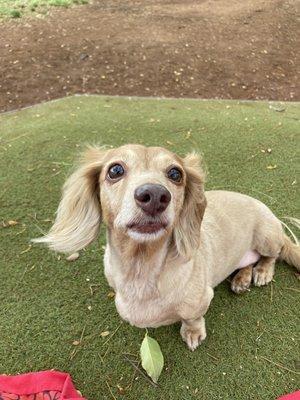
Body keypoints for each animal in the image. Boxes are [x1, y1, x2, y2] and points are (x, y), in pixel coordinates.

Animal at [33, 144, 300, 350]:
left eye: (175, 173)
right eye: (115, 170)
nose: (154, 195)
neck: (142, 268)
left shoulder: (200, 300)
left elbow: (192, 318)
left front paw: (193, 333)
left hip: (267, 237)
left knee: (271, 256)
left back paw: (262, 272)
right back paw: (242, 278)